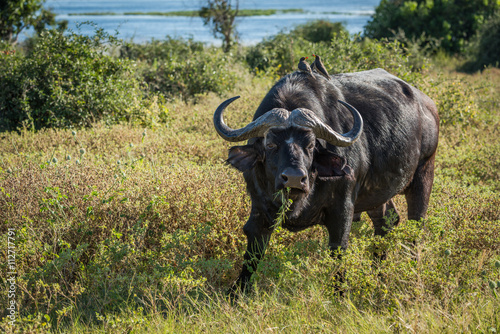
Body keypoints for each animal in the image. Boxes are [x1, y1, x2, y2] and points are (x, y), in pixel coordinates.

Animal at [213, 68, 440, 290]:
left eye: (311, 145)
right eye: (270, 144)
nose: (294, 179)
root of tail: (427, 105)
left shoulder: (343, 209)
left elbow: (338, 251)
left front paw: (340, 292)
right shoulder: (259, 209)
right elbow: (253, 253)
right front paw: (238, 291)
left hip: (424, 174)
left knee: (415, 227)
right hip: (378, 196)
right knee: (387, 221)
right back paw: (378, 274)